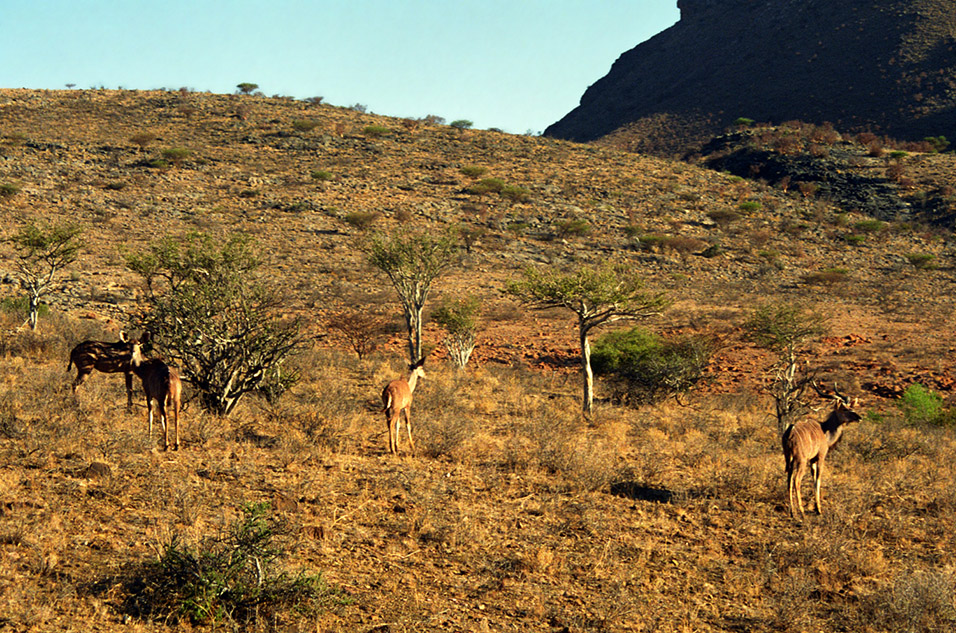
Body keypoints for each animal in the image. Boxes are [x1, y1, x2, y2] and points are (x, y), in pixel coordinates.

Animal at [780, 386, 864, 520]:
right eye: (844, 409)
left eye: (851, 407)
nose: (859, 417)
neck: (825, 431)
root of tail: (790, 432)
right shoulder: (820, 457)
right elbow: (818, 480)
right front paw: (819, 510)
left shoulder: (812, 461)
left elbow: (813, 478)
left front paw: (815, 507)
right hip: (801, 460)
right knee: (797, 480)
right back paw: (802, 512)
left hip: (790, 459)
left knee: (789, 480)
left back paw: (792, 512)